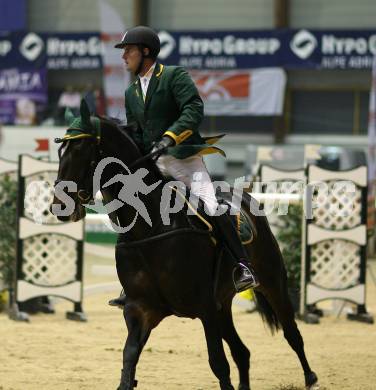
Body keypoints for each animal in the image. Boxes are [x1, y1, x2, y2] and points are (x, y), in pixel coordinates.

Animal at [51, 102, 318, 388]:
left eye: (81, 150)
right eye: (60, 151)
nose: (59, 207)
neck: (149, 228)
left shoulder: (205, 308)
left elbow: (218, 364)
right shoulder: (140, 310)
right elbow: (128, 359)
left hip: (271, 282)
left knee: (292, 333)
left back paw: (311, 377)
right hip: (223, 304)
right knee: (242, 352)